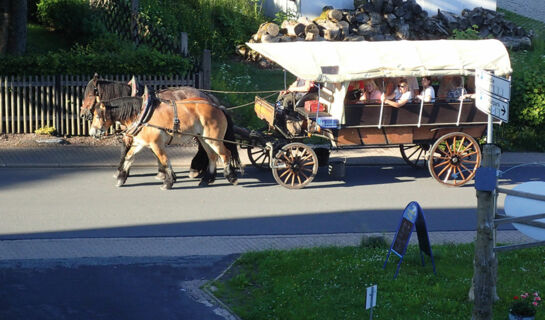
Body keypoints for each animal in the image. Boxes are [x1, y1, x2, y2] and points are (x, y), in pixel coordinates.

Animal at [79, 74, 226, 180]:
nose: (82, 114)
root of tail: (207, 96)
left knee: (204, 147)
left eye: (91, 94)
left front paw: (120, 171)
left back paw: (196, 169)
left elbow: (126, 150)